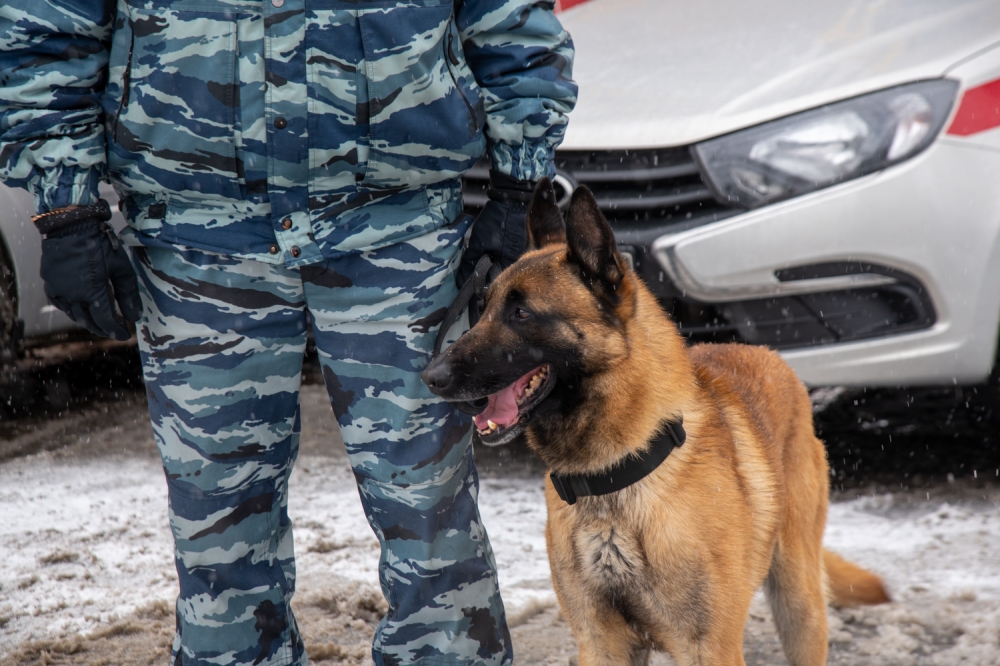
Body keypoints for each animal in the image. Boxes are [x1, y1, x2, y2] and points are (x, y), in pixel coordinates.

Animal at [423, 180, 890, 666]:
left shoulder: (710, 648)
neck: (612, 479)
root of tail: (768, 354)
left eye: (522, 314)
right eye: (483, 306)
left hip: (799, 604)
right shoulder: (601, 644)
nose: (431, 376)